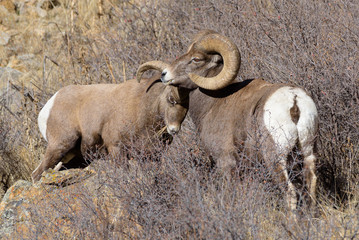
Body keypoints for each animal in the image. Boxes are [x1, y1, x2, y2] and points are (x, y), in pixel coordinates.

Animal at [32, 76, 190, 182]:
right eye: (171, 99)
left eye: (187, 105)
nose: (173, 129)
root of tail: (48, 106)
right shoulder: (116, 149)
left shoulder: (152, 157)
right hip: (59, 146)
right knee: (37, 174)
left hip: (74, 159)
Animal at [137, 29, 318, 210]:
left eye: (196, 59)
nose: (164, 74)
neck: (213, 102)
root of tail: (294, 101)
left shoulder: (226, 163)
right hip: (307, 153)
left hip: (276, 159)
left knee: (290, 193)